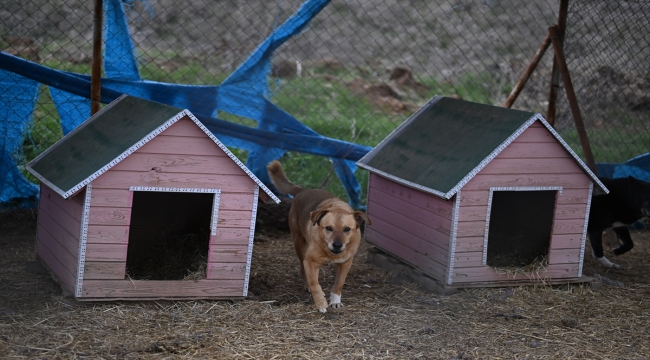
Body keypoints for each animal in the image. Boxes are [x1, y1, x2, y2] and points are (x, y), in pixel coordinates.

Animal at [268, 160, 370, 312]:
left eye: (347, 229)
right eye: (328, 228)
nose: (337, 245)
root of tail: (303, 190)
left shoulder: (346, 262)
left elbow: (339, 283)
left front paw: (335, 301)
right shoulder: (310, 261)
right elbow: (315, 284)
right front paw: (321, 303)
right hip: (300, 245)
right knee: (304, 271)